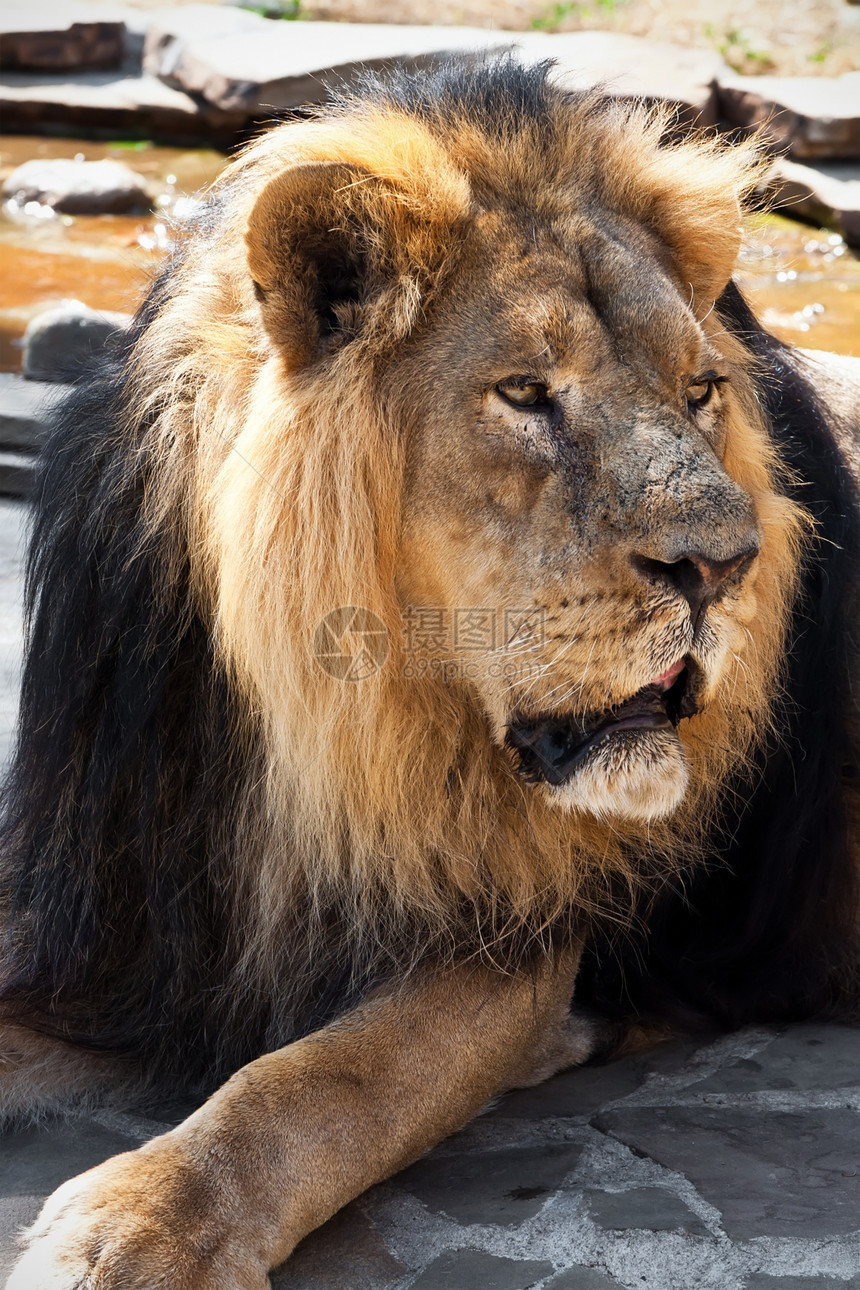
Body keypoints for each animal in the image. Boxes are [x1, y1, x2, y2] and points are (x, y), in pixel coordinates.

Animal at [1, 58, 860, 1290]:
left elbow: (316, 1081)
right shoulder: (103, 927)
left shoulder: (515, 951)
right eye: (525, 393)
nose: (724, 564)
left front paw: (139, 1229)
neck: (331, 736)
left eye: (699, 392)